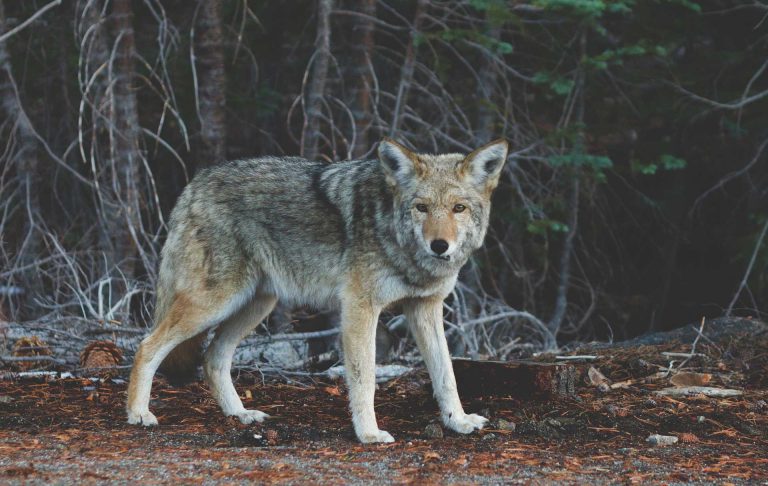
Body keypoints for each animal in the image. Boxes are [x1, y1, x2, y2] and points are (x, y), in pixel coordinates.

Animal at [126, 138, 509, 443]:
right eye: (422, 207)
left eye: (458, 208)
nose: (439, 246)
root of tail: (195, 183)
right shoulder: (359, 308)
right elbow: (365, 378)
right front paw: (369, 434)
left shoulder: (425, 308)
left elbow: (446, 374)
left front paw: (458, 421)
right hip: (214, 303)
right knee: (147, 346)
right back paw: (138, 414)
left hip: (255, 305)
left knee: (213, 358)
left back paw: (241, 415)